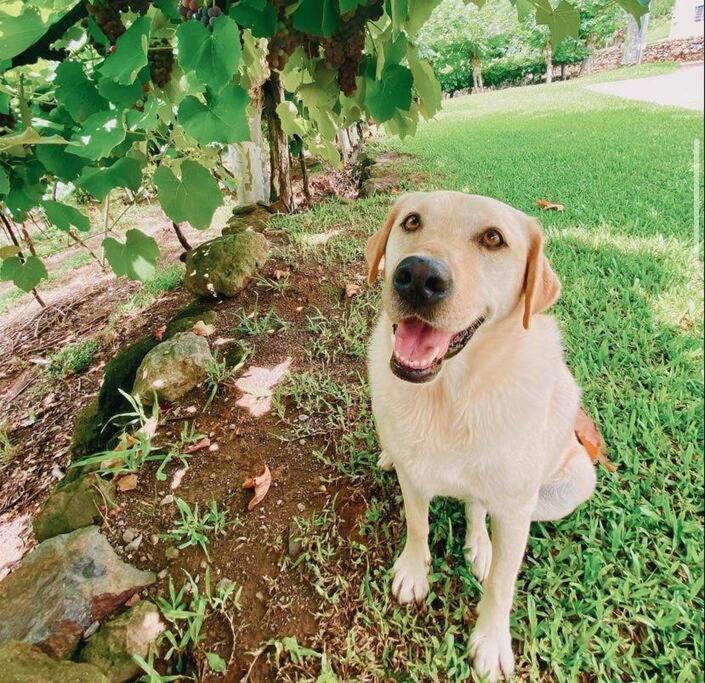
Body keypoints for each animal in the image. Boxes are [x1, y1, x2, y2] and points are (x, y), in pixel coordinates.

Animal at [366, 190, 596, 680]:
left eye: (493, 238)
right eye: (411, 221)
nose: (418, 277)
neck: (452, 396)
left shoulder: (514, 510)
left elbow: (502, 584)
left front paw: (491, 643)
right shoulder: (415, 477)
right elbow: (417, 524)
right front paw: (413, 571)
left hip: (573, 481)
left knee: (478, 506)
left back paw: (480, 545)